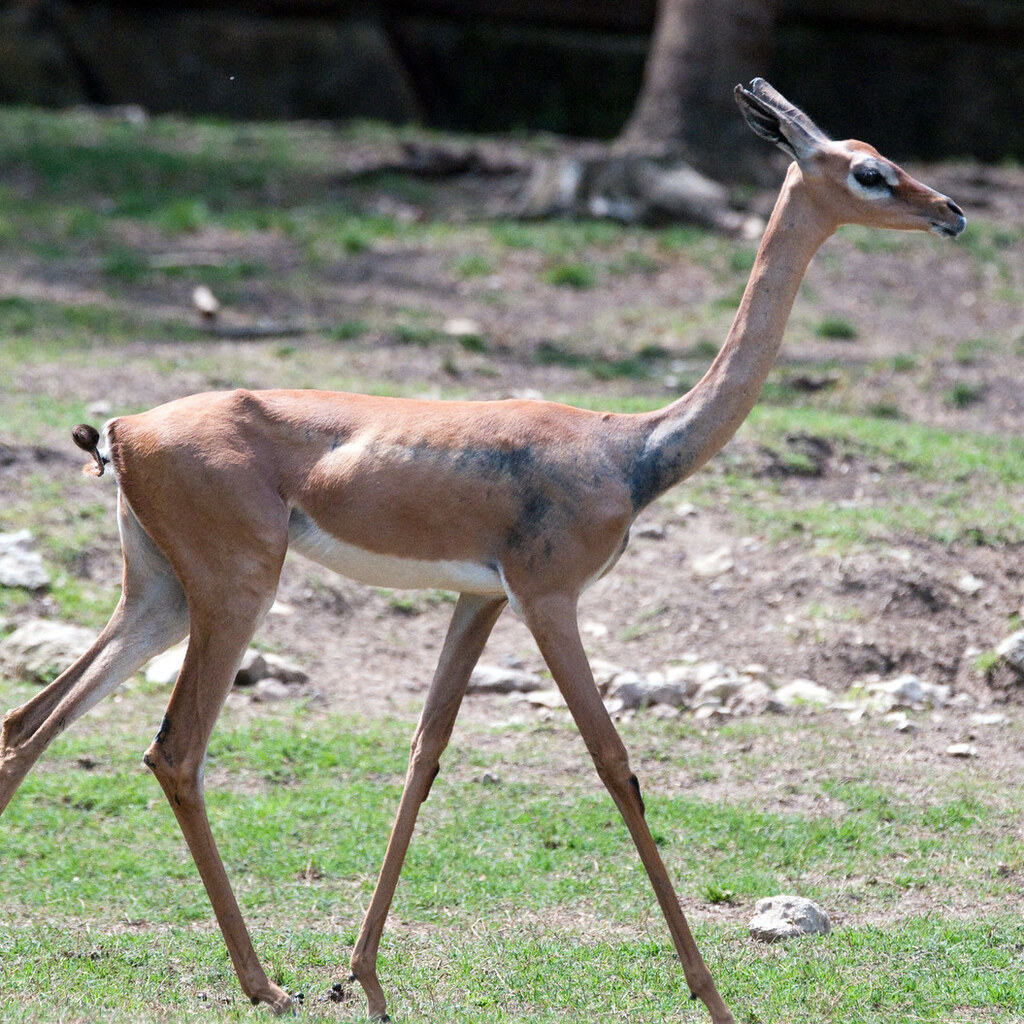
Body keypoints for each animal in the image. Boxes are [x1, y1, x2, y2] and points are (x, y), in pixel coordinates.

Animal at [0, 80, 964, 1023]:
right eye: (870, 172)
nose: (950, 211)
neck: (629, 448)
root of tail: (122, 430)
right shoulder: (549, 599)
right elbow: (615, 764)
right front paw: (713, 996)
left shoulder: (482, 599)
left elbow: (425, 752)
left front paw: (365, 979)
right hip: (238, 590)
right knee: (174, 751)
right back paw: (266, 985)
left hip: (159, 598)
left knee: (27, 725)